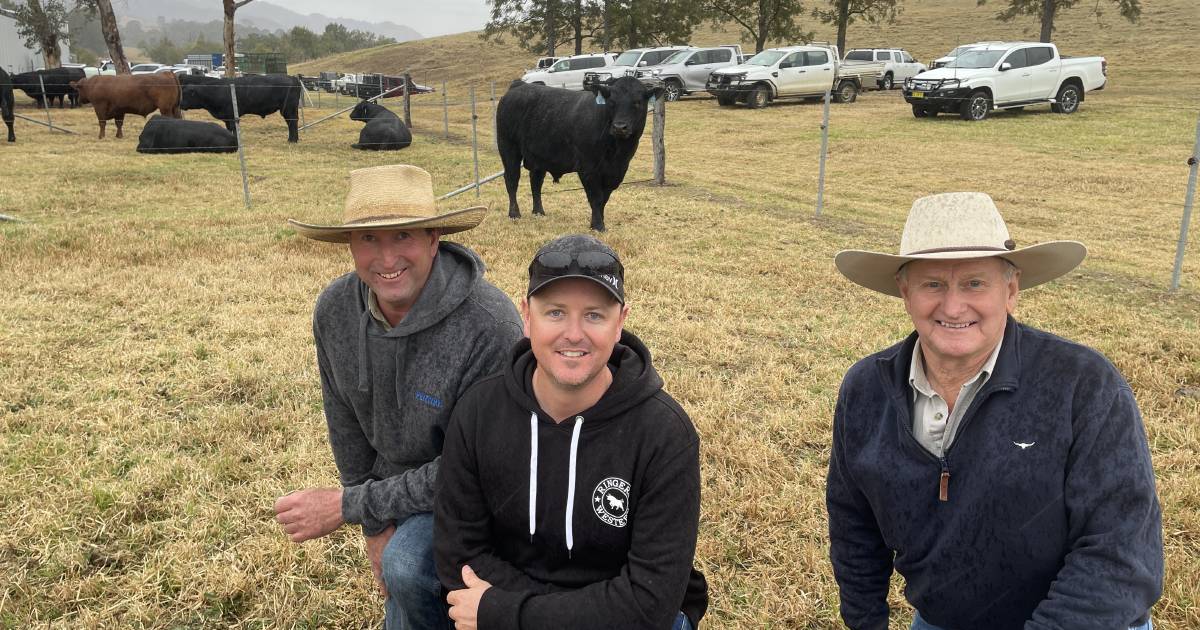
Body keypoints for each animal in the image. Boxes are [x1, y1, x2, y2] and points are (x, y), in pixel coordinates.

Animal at [496, 74, 667, 230]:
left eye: (637, 102)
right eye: (612, 102)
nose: (619, 127)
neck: (616, 151)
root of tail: (519, 86)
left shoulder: (617, 171)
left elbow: (604, 198)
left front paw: (598, 222)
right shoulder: (588, 168)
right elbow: (596, 197)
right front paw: (598, 226)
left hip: (539, 155)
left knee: (536, 181)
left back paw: (539, 212)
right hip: (508, 147)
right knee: (512, 179)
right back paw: (514, 214)